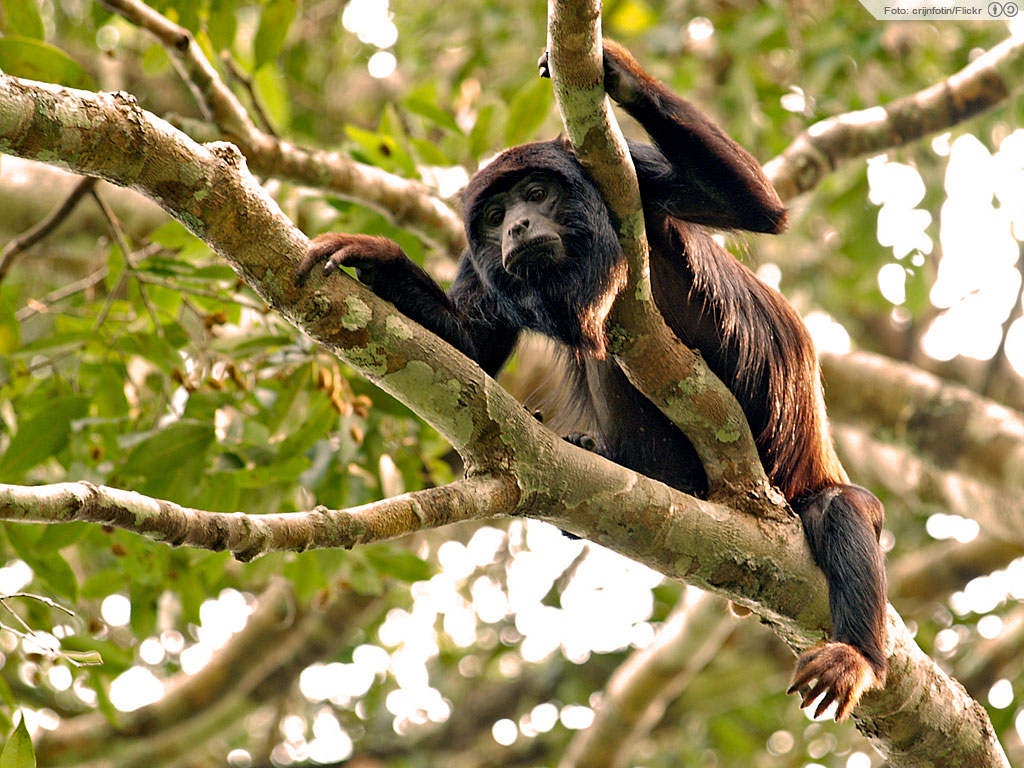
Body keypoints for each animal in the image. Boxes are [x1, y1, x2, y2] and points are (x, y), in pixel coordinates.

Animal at [301, 40, 888, 720]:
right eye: (496, 214)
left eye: (537, 192)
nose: (518, 227)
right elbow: (470, 344)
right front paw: (378, 257)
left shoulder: (632, 174)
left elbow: (757, 206)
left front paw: (618, 73)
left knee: (842, 508)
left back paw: (856, 654)